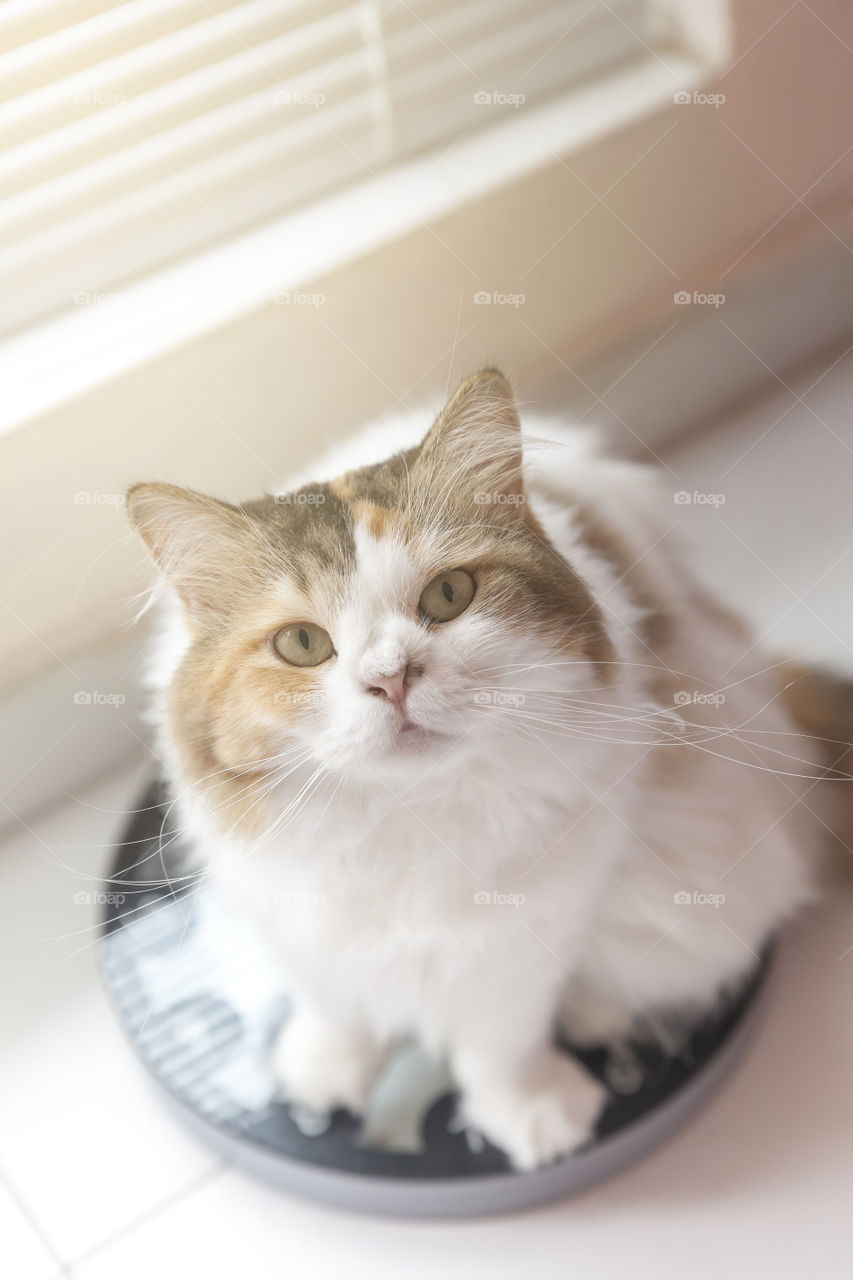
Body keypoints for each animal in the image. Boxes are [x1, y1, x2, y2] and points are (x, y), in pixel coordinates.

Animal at [126, 368, 835, 1172]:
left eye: (448, 596)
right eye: (302, 644)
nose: (391, 677)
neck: (405, 821)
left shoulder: (524, 936)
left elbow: (500, 1047)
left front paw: (532, 1116)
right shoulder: (301, 917)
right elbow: (335, 1008)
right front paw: (321, 1074)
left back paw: (595, 1014)